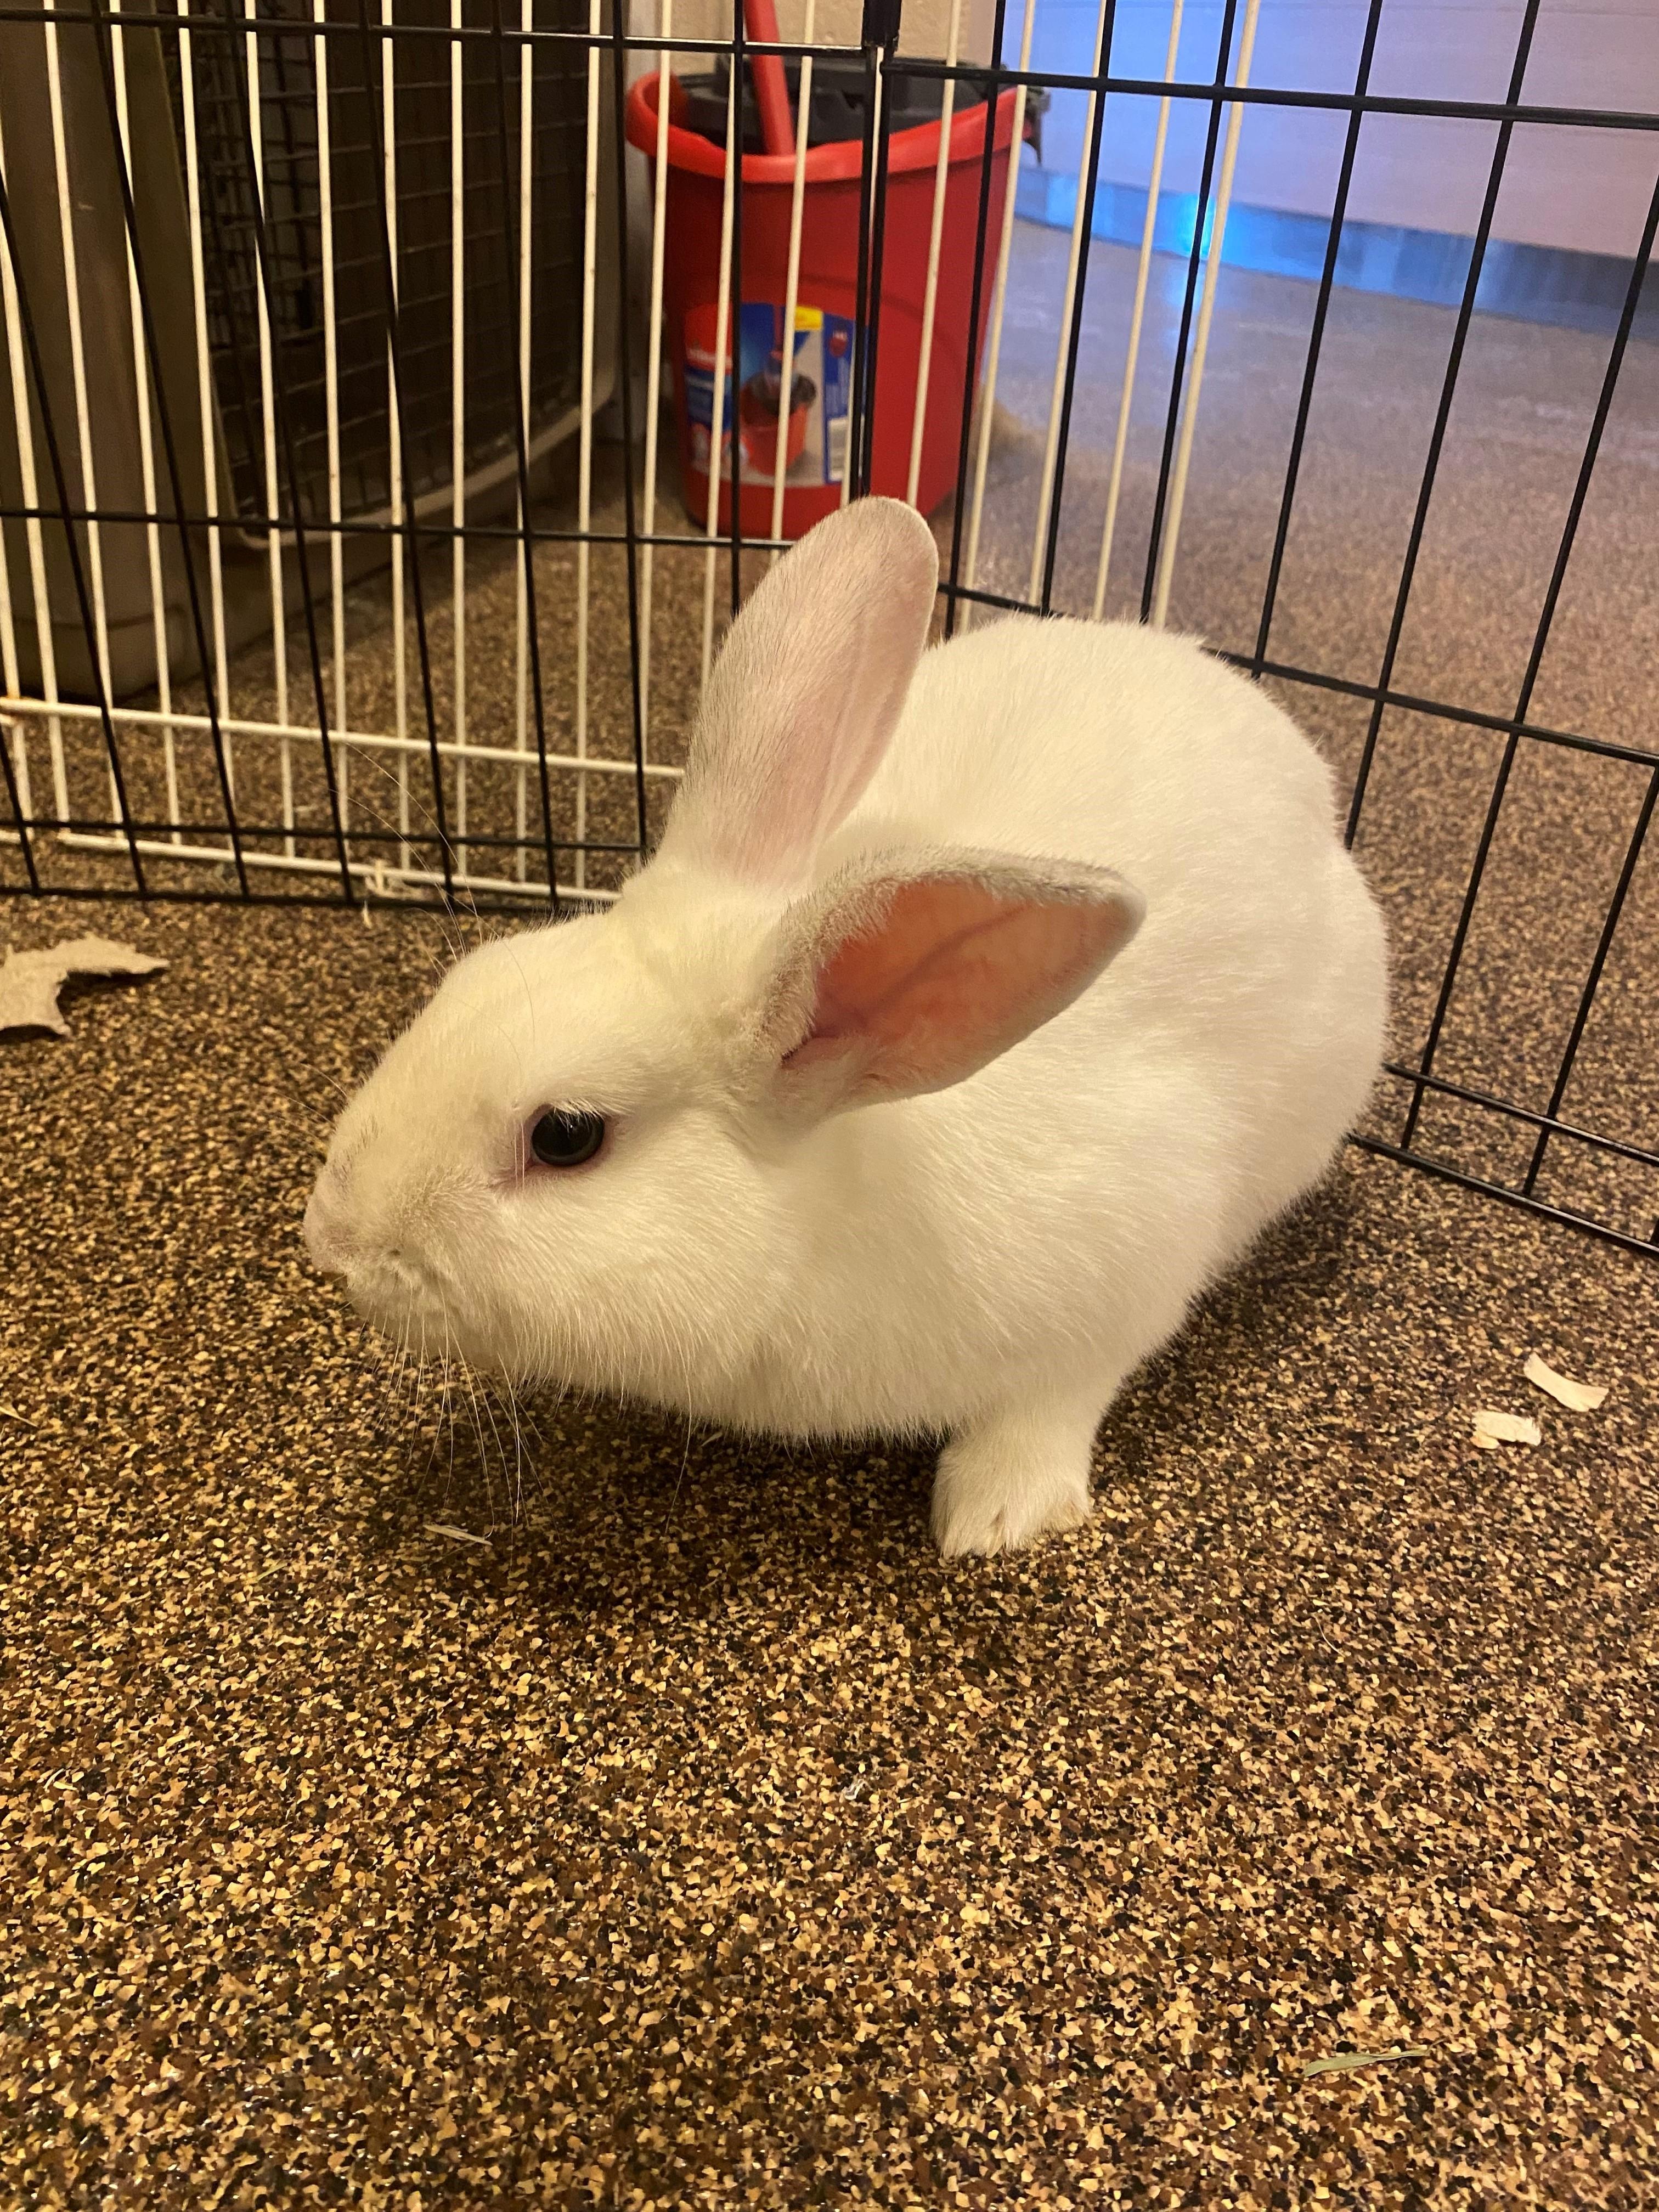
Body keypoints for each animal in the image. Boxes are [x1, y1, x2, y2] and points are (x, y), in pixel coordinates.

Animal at [304, 496, 1387, 1557]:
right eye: (467, 978)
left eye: (566, 1136)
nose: (331, 1242)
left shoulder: (1129, 1267)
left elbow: (1054, 1401)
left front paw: (994, 1516)